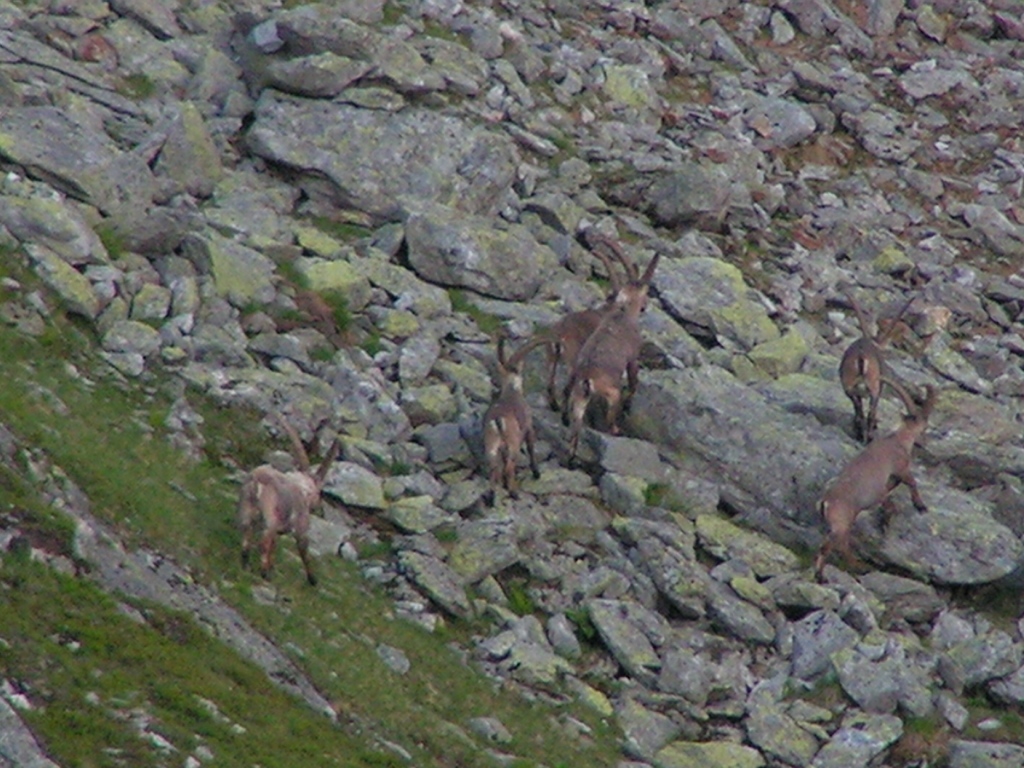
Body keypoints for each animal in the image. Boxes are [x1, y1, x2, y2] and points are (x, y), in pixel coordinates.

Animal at [237, 417, 342, 585]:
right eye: (319, 492)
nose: (318, 506)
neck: (303, 489)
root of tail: (256, 482)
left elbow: (274, 546)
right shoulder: (300, 527)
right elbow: (303, 548)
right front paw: (313, 580)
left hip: (245, 509)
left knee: (247, 536)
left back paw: (246, 566)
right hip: (269, 518)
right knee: (263, 543)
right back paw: (263, 573)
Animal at [481, 335, 544, 505]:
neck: (511, 390)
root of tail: (498, 420)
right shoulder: (528, 427)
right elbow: (531, 447)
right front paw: (536, 473)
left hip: (491, 442)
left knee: (494, 465)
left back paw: (491, 497)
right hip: (513, 442)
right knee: (509, 465)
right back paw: (513, 493)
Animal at [557, 247, 659, 462]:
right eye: (645, 294)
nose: (645, 306)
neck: (623, 315)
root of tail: (587, 379)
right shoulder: (632, 357)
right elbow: (634, 381)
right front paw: (628, 405)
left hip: (579, 398)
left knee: (575, 424)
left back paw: (570, 455)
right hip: (611, 392)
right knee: (610, 415)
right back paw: (615, 430)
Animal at [815, 378, 937, 581]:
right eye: (925, 427)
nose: (925, 444)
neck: (898, 439)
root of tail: (825, 501)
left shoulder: (888, 483)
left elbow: (889, 495)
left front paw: (885, 520)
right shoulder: (900, 468)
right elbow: (911, 482)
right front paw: (920, 506)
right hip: (842, 523)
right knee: (836, 545)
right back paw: (840, 572)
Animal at [839, 288, 913, 444]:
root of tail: (861, 356)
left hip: (849, 386)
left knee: (859, 410)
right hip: (873, 387)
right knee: (870, 412)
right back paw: (868, 437)